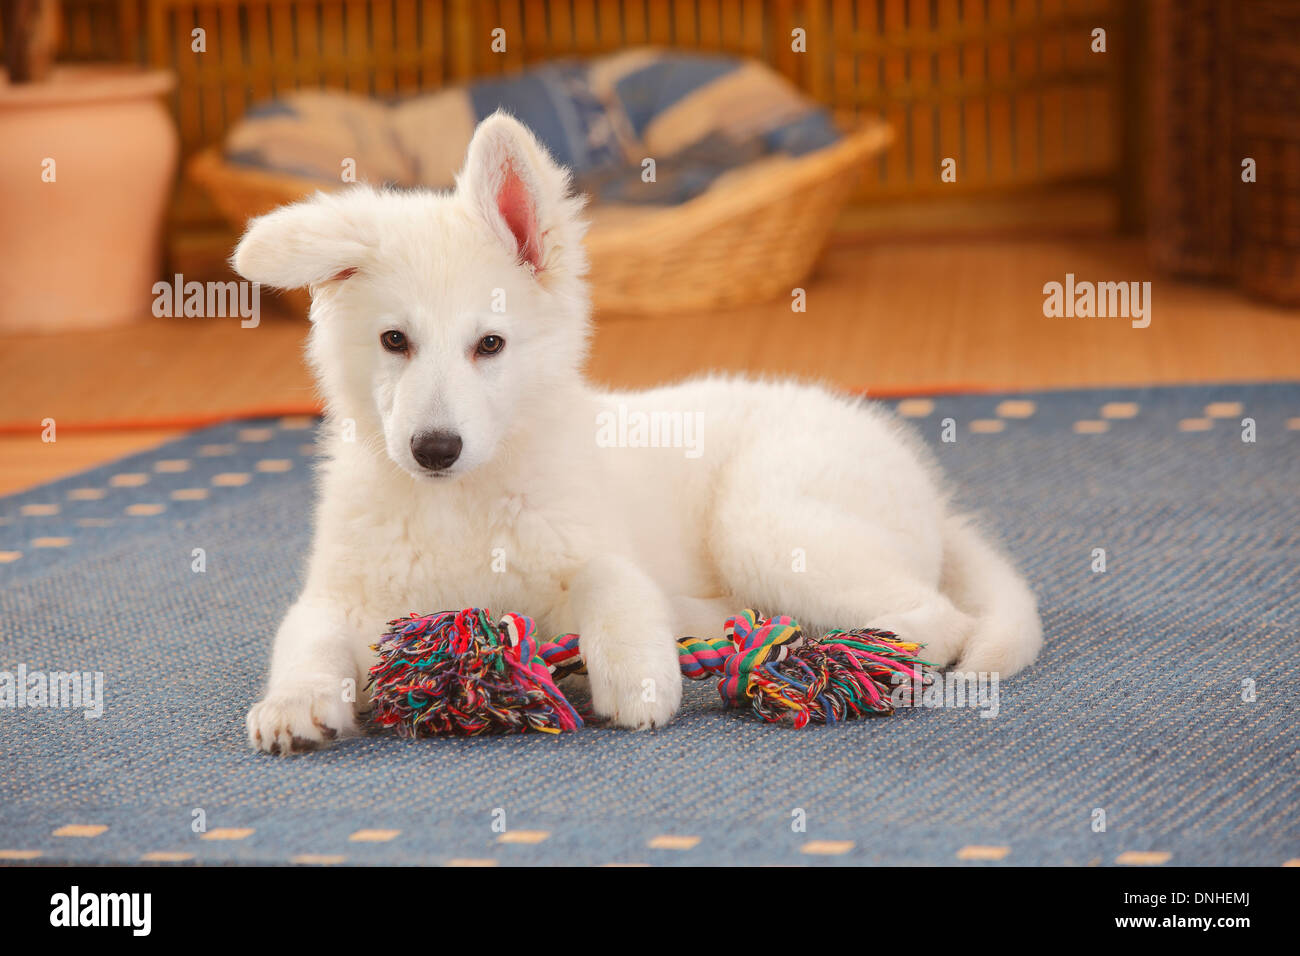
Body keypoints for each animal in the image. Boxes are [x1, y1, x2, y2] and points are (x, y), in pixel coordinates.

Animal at [236, 113, 1045, 754]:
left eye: (489, 345)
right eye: (394, 341)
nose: (434, 449)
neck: (458, 504)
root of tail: (929, 495)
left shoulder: (592, 548)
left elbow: (612, 581)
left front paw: (637, 675)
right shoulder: (337, 595)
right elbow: (305, 639)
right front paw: (295, 703)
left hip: (764, 517)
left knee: (936, 621)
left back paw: (823, 654)